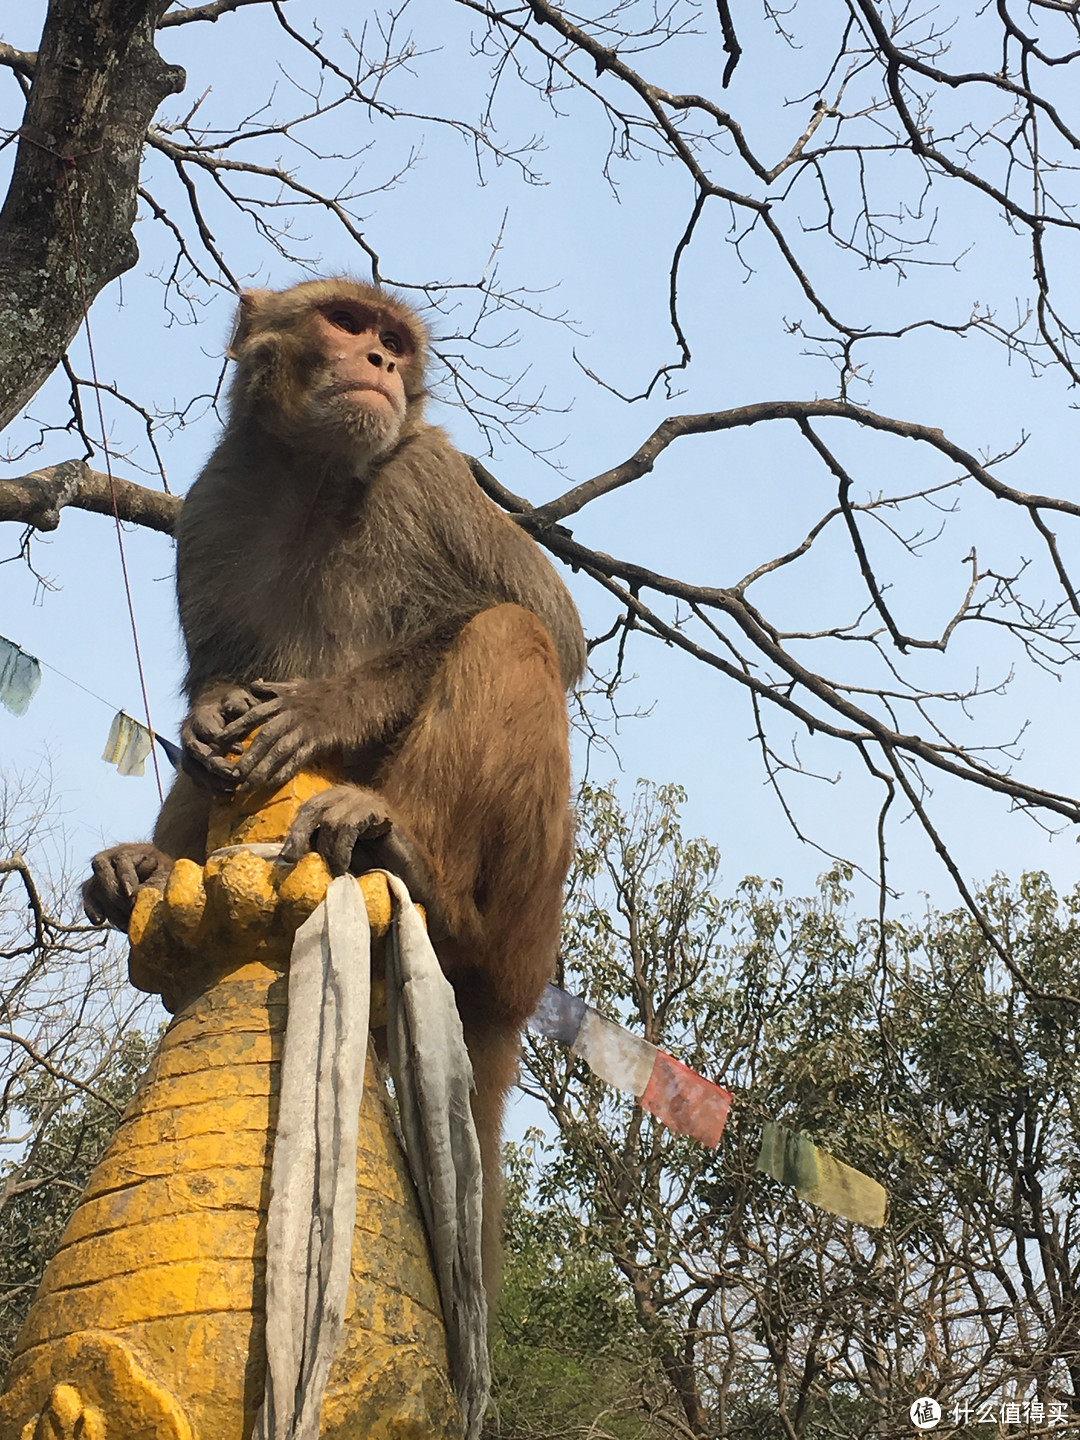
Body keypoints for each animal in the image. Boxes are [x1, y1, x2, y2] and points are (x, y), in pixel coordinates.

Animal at [83, 275, 584, 1290]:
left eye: (394, 339)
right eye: (349, 323)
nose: (383, 361)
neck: (311, 479)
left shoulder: (431, 474)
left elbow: (552, 623)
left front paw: (323, 706)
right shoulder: (215, 499)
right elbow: (213, 691)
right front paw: (209, 716)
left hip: (525, 911)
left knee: (510, 632)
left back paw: (408, 851)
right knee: (213, 767)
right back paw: (145, 872)